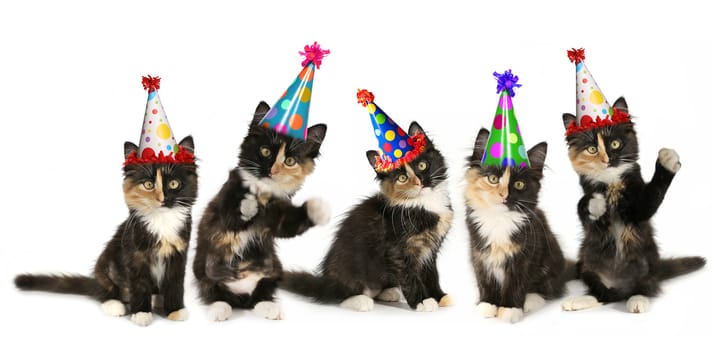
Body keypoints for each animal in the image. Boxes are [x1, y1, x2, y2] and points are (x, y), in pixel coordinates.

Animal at [193, 100, 330, 322]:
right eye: (265, 152)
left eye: (289, 161)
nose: (272, 171)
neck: (263, 192)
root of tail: (241, 296)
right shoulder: (225, 202)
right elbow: (234, 214)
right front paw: (249, 204)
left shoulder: (279, 213)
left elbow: (289, 224)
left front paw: (318, 209)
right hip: (203, 269)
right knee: (214, 290)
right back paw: (219, 308)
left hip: (274, 267)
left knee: (261, 292)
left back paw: (267, 306)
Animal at [466, 128, 576, 322]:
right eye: (493, 179)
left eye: (519, 184)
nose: (504, 196)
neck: (499, 220)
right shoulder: (479, 254)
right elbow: (485, 281)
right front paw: (487, 304)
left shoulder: (524, 256)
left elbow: (515, 284)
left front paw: (510, 309)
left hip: (550, 259)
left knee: (551, 288)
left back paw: (531, 300)